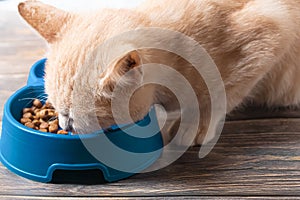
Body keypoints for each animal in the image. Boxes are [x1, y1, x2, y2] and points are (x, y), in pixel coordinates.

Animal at [17, 0, 300, 145]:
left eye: (73, 118)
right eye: (56, 110)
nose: (64, 125)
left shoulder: (272, 33)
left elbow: (218, 97)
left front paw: (193, 125)